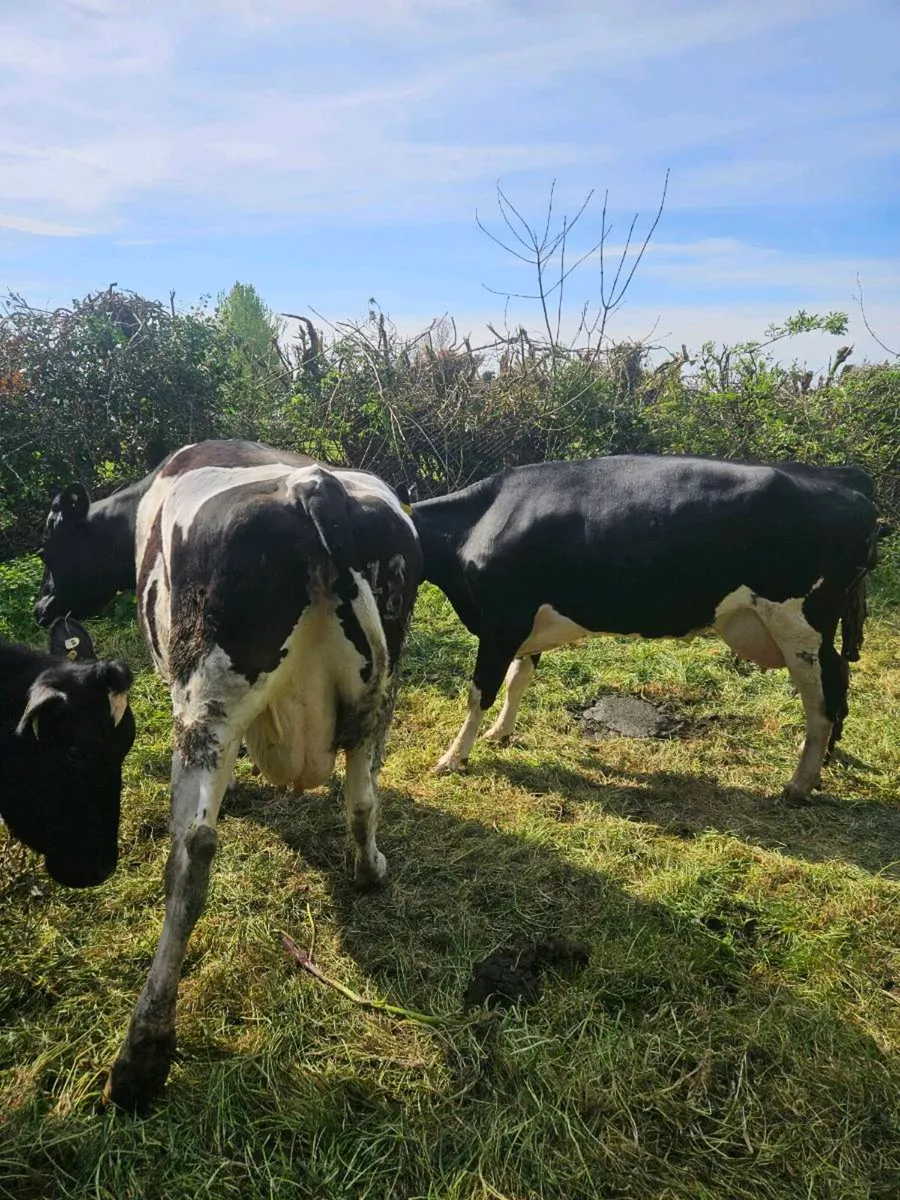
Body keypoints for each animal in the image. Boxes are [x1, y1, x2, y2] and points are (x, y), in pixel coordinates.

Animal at [35, 439, 422, 1111]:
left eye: (52, 546)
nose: (39, 606)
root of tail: (316, 486)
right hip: (382, 690)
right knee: (364, 795)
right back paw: (368, 869)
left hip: (203, 699)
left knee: (191, 856)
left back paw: (141, 1056)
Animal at [409, 455, 878, 799]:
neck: (478, 522)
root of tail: (846, 478)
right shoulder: (525, 624)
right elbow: (517, 680)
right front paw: (500, 733)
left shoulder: (503, 620)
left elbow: (481, 692)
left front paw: (453, 758)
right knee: (840, 680)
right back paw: (821, 764)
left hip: (799, 625)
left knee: (823, 699)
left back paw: (799, 783)